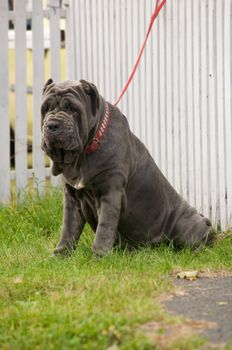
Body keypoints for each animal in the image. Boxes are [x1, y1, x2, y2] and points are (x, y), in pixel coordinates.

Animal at [41, 78, 214, 256]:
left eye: (72, 109)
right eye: (45, 109)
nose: (52, 125)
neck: (83, 155)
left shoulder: (110, 192)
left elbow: (104, 229)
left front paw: (99, 255)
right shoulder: (72, 197)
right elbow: (68, 228)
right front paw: (60, 254)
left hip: (187, 223)